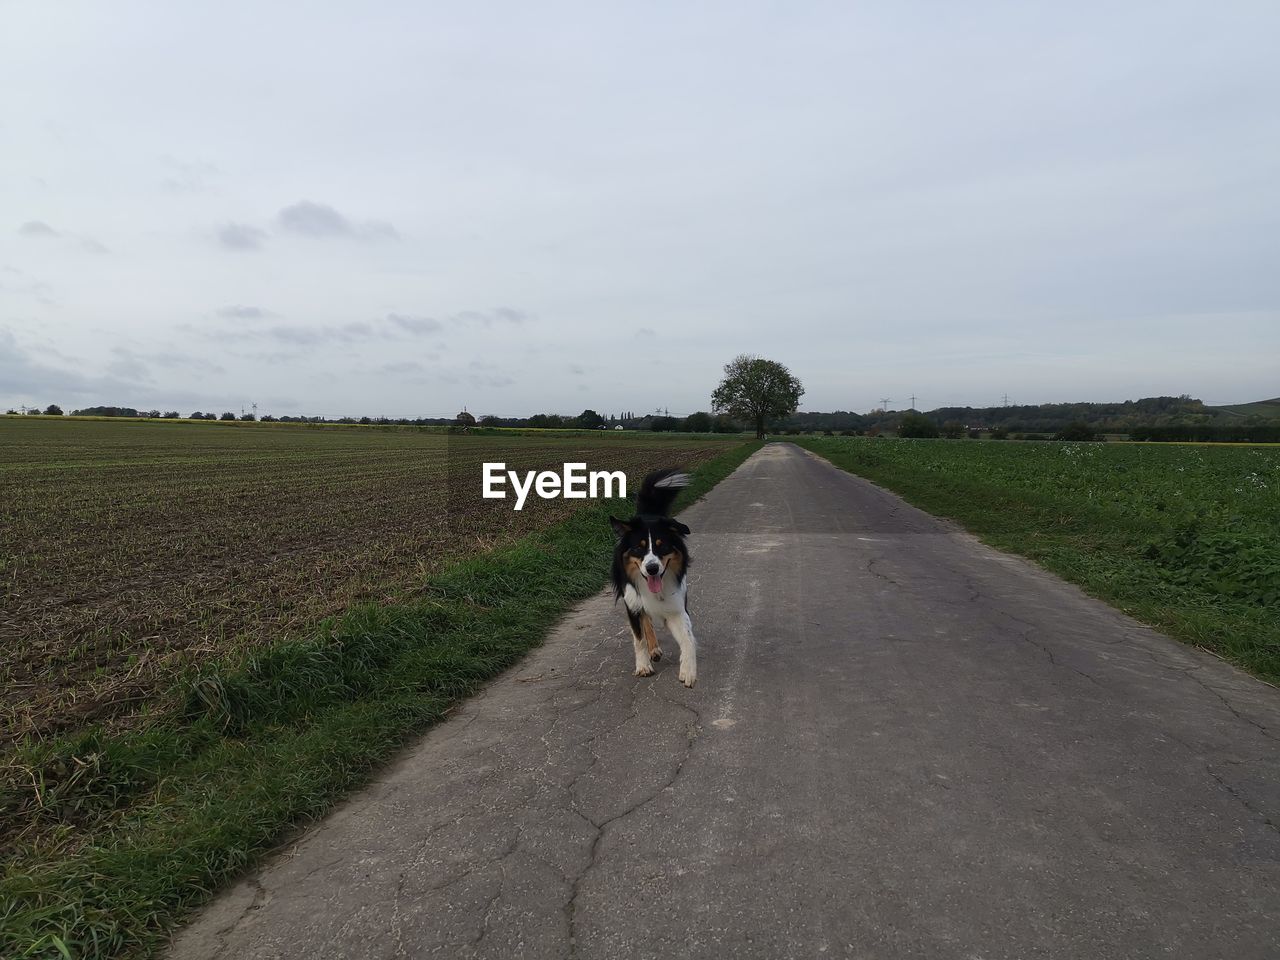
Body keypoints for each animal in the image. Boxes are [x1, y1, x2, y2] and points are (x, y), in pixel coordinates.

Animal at [609, 468, 701, 686]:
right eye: (638, 548)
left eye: (662, 545)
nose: (652, 569)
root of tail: (647, 513)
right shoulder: (632, 602)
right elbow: (639, 638)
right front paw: (643, 666)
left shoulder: (676, 606)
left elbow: (688, 638)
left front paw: (688, 669)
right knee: (645, 620)